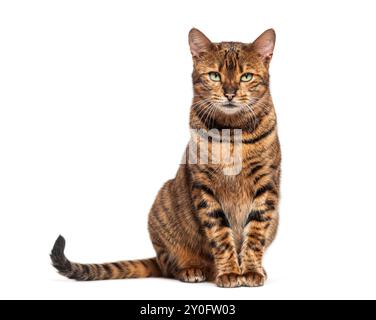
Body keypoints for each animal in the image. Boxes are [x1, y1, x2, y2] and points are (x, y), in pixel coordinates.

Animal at [50, 27, 280, 288]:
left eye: (246, 77)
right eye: (214, 75)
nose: (230, 93)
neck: (232, 132)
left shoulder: (266, 184)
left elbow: (255, 235)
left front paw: (250, 270)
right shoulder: (204, 186)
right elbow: (220, 235)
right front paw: (230, 272)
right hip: (163, 202)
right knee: (171, 265)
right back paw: (193, 269)